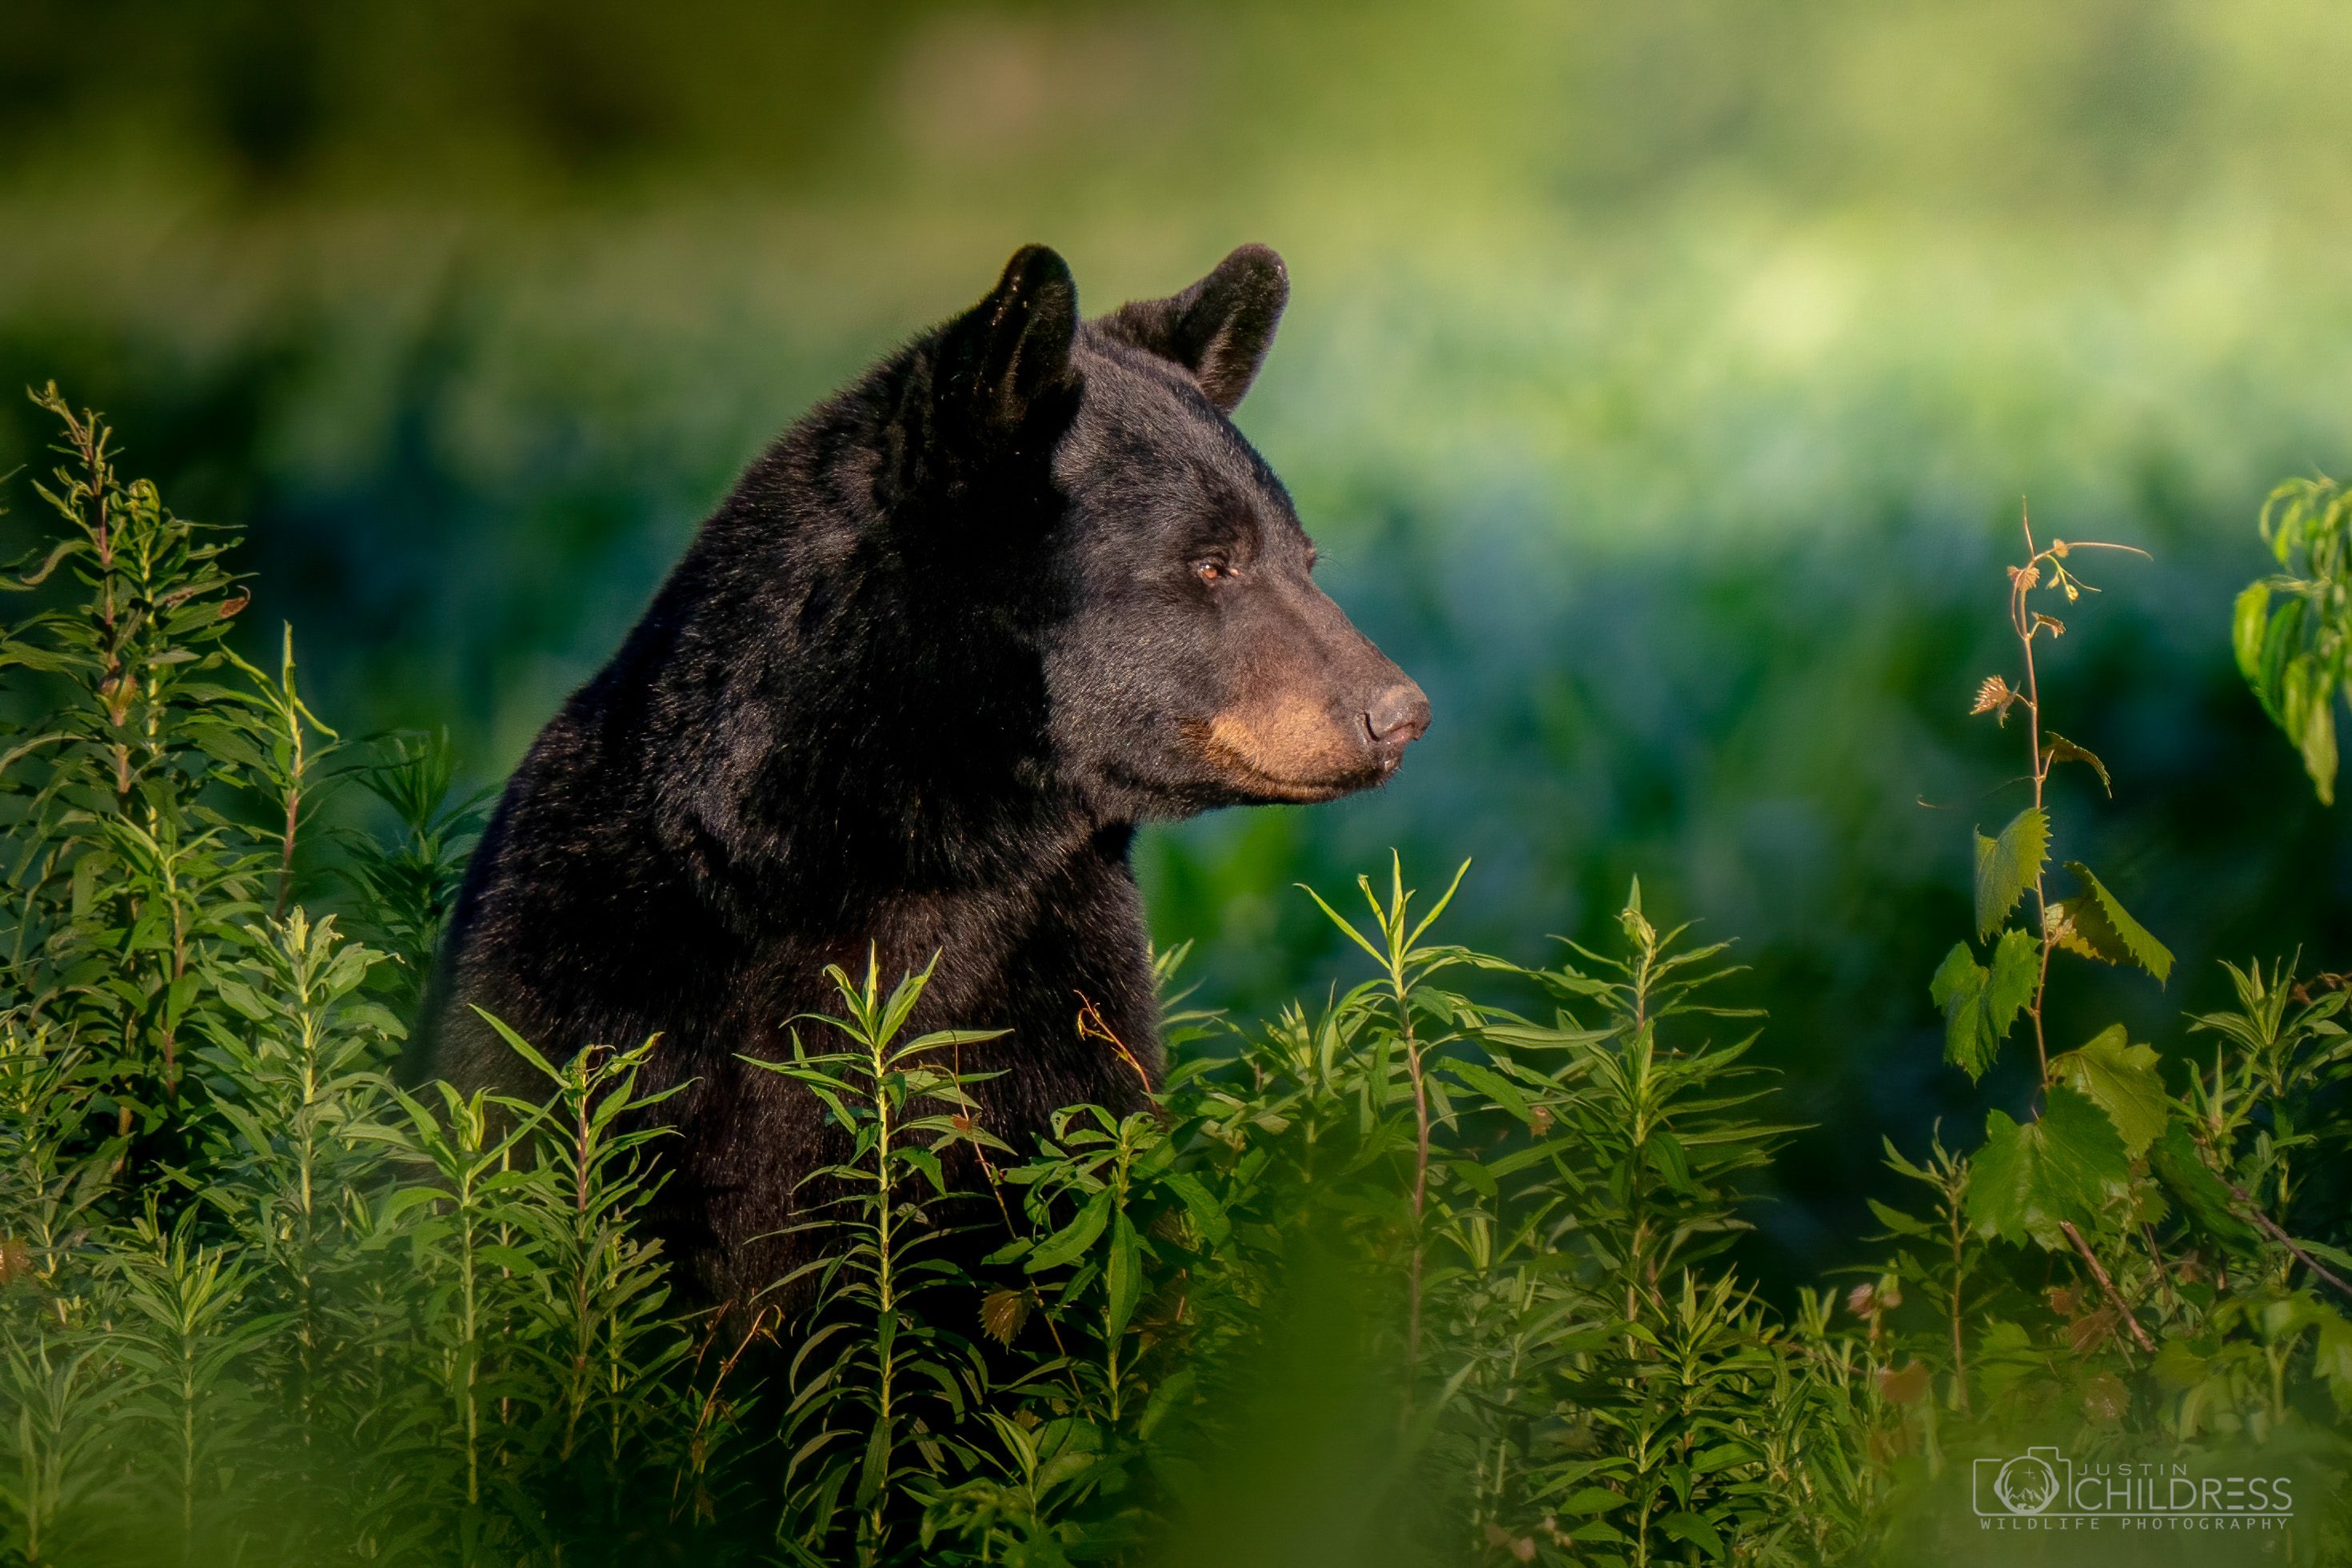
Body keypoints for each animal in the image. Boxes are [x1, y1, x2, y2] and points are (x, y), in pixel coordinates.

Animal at [428, 245, 1430, 1297]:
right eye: (1211, 562)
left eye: (1305, 557)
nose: (1400, 713)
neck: (915, 855)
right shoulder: (583, 968)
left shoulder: (1059, 1000)